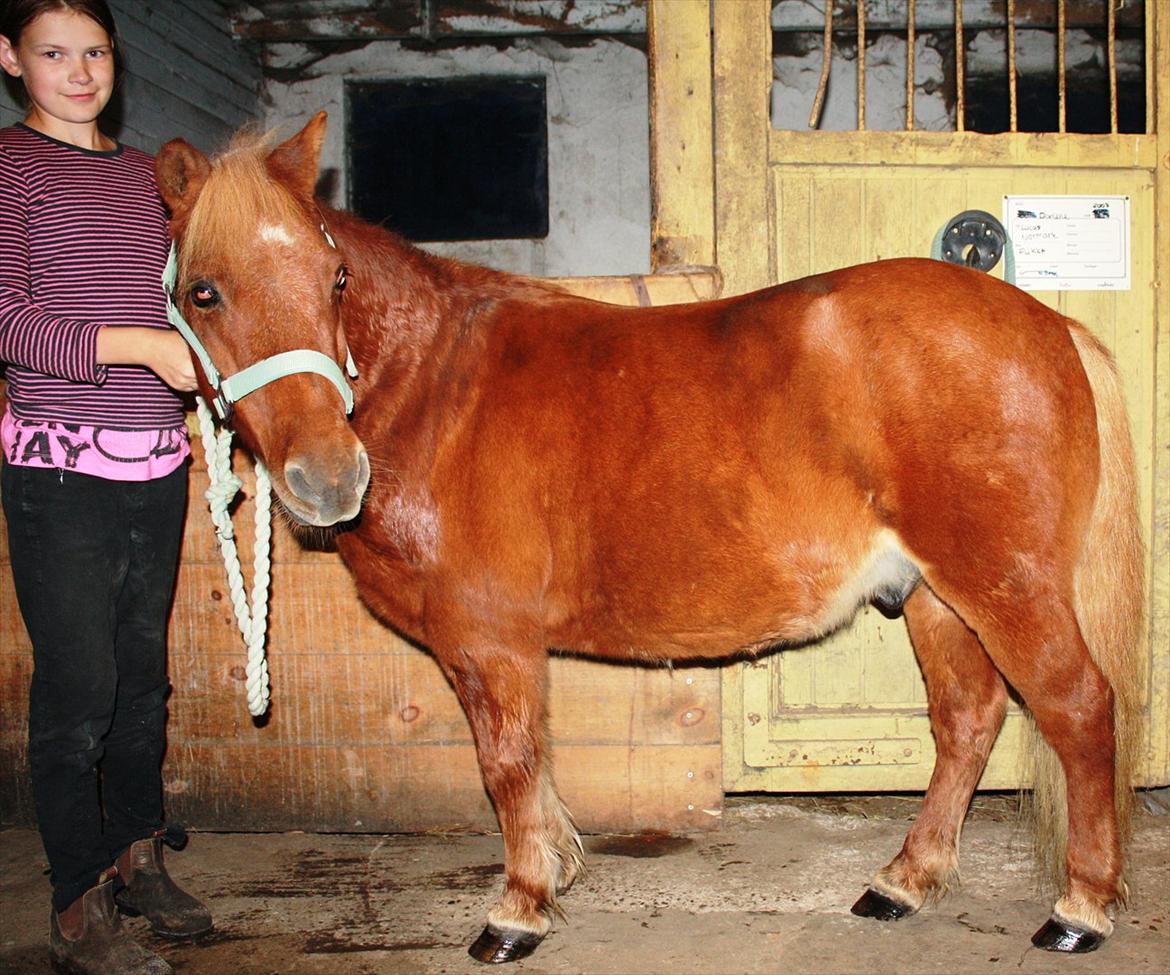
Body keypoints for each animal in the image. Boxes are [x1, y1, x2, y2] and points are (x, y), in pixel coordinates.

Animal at [150, 114, 1137, 959]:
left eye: (334, 281)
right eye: (205, 291)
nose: (330, 476)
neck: (438, 386)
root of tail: (1051, 324)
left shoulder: (488, 635)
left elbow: (507, 762)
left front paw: (518, 908)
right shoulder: (490, 645)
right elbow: (529, 761)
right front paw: (553, 871)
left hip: (1005, 585)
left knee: (1078, 706)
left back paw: (1079, 908)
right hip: (936, 597)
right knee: (968, 719)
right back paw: (906, 881)